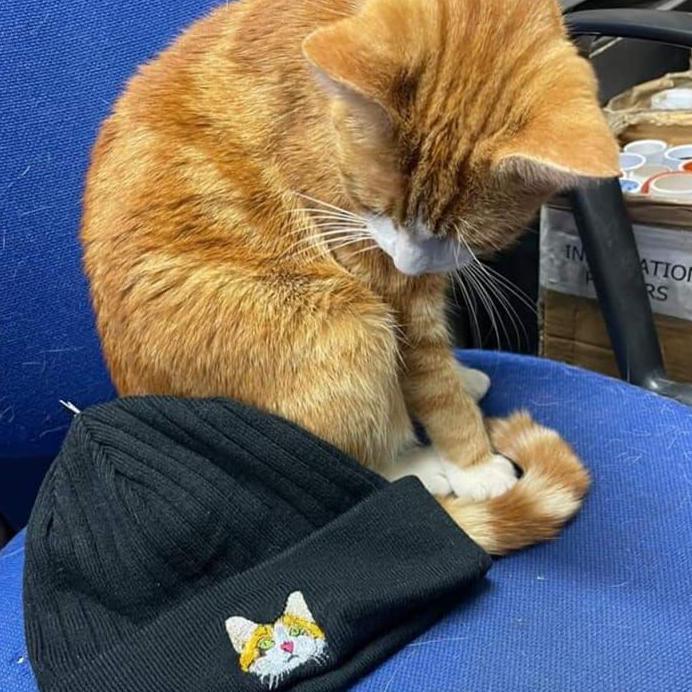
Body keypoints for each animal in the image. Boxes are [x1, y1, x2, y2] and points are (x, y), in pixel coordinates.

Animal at [81, 0, 616, 556]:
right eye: (375, 206)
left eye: (455, 237)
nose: (408, 262)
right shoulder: (379, 273)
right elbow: (431, 378)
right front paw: (474, 465)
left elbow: (436, 360)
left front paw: (461, 377)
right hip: (347, 324)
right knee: (350, 458)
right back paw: (422, 467)